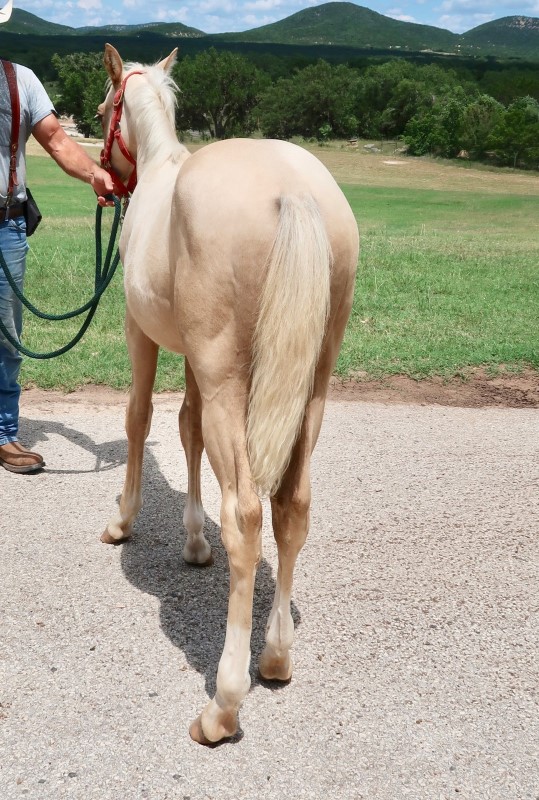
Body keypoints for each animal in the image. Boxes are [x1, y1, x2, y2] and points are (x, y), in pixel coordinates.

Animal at [98, 43, 358, 744]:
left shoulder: (142, 334)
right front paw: (193, 543)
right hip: (311, 391)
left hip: (228, 385)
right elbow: (185, 428)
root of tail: (294, 189)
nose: (104, 177)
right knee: (292, 507)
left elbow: (140, 419)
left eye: (104, 109)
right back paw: (275, 657)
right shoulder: (193, 360)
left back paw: (224, 702)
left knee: (245, 516)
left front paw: (123, 521)